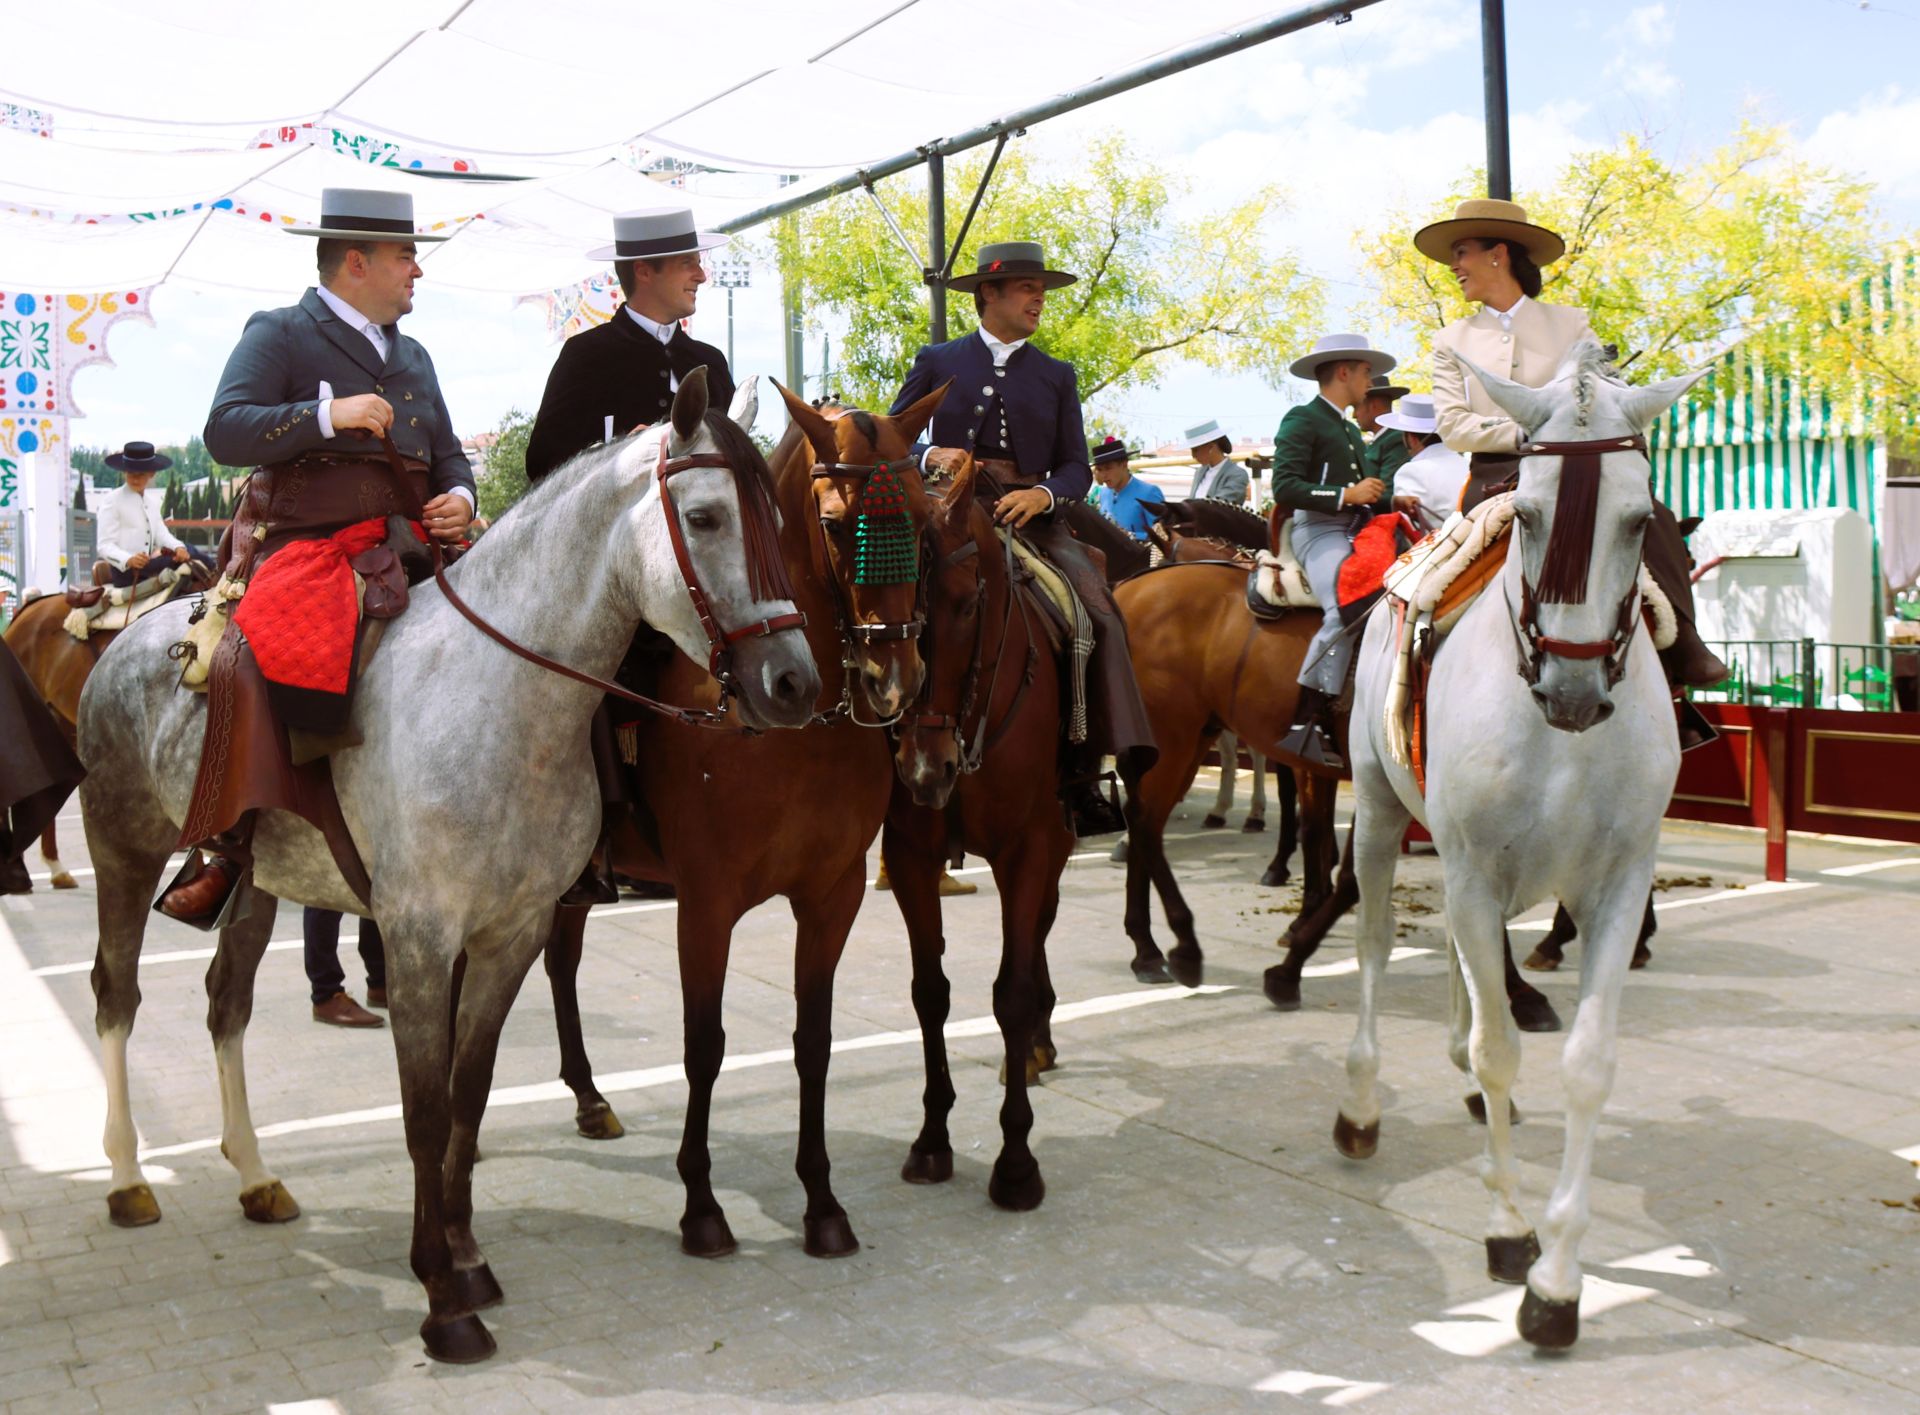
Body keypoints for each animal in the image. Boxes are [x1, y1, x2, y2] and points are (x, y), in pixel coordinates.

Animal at [76, 370, 817, 1367]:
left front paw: (468, 1257)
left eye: (777, 515)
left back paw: (256, 1173)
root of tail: (124, 640)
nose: (794, 683)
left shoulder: (513, 931)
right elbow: (424, 1107)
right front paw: (440, 1296)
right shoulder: (421, 936)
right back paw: (126, 1176)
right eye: (702, 517)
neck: (500, 696)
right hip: (121, 845)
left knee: (226, 1002)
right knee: (116, 992)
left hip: (257, 883)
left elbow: (469, 1092)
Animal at [541, 380, 944, 1251]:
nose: (893, 676)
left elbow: (813, 1040)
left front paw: (822, 1200)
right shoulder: (707, 902)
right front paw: (701, 1205)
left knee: (561, 960)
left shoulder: (833, 895)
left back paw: (589, 1096)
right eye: (838, 524)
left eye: (926, 525)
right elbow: (705, 1045)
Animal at [883, 449, 1082, 1205]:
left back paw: (1035, 1047)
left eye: (968, 602)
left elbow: (1012, 993)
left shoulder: (1029, 847)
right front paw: (932, 1138)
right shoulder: (911, 854)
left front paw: (1016, 1162)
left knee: (1040, 931)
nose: (924, 766)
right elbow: (929, 992)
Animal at [1328, 339, 1704, 1343]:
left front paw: (1560, 1283)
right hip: (1381, 814)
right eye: (1530, 512)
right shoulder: (1466, 868)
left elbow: (1585, 1062)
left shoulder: (1618, 886)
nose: (1573, 692)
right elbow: (1502, 1043)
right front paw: (1508, 1232)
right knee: (1376, 948)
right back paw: (1361, 1104)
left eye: (1640, 518)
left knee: (1474, 972)